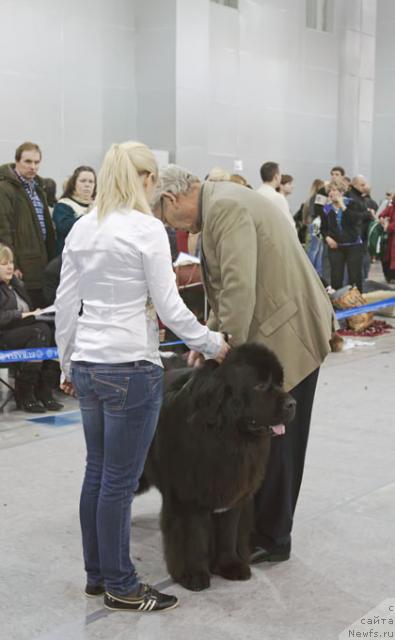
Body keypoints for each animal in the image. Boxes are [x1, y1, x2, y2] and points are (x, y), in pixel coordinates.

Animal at [139, 342, 296, 592]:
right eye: (260, 385)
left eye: (280, 383)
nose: (292, 404)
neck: (226, 436)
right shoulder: (187, 498)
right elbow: (192, 537)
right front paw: (193, 575)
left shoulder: (233, 493)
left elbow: (228, 533)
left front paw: (229, 565)